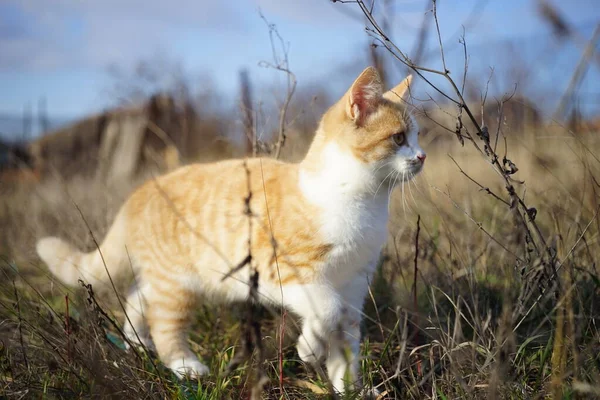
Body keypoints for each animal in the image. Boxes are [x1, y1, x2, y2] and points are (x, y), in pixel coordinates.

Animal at [36, 65, 426, 394]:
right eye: (399, 138)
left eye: (417, 136)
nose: (421, 156)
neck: (358, 199)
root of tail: (140, 190)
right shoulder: (284, 272)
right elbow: (325, 309)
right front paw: (309, 349)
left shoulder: (354, 286)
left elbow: (344, 341)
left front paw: (351, 389)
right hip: (177, 284)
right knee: (164, 324)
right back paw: (184, 364)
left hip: (166, 278)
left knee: (136, 297)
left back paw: (135, 343)